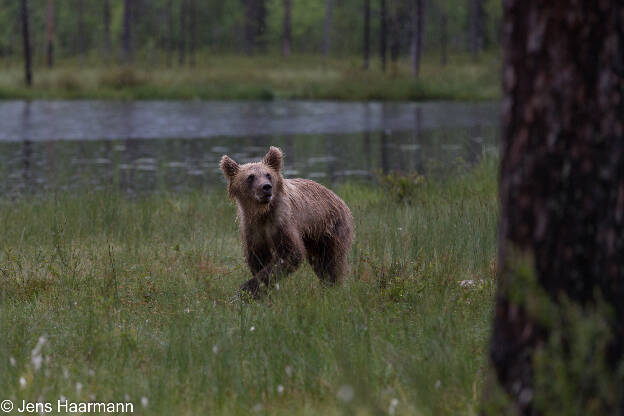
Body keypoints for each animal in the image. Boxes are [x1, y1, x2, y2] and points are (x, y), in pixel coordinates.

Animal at [222, 146, 354, 296]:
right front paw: (259, 292)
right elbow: (257, 258)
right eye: (250, 177)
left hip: (331, 227)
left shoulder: (282, 221)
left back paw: (333, 287)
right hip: (314, 238)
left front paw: (245, 290)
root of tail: (338, 198)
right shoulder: (252, 228)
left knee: (332, 262)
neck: (263, 212)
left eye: (268, 174)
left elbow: (291, 254)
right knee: (319, 263)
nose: (266, 187)